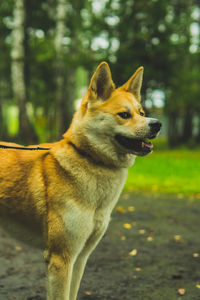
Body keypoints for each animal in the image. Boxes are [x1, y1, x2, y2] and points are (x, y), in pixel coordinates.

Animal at [0, 62, 161, 298]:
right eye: (124, 114)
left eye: (142, 113)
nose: (157, 124)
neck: (90, 159)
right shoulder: (61, 258)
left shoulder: (80, 258)